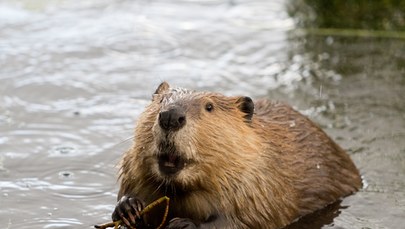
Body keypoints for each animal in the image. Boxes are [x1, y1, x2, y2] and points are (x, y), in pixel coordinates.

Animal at [112, 82, 362, 229]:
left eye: (209, 107)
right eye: (162, 101)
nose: (171, 116)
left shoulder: (260, 185)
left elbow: (244, 221)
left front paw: (183, 225)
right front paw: (128, 208)